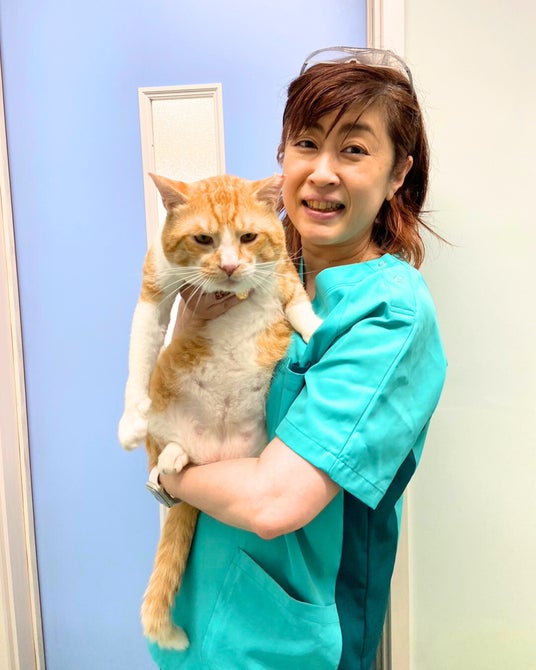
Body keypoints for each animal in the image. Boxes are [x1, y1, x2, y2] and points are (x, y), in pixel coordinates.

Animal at [118, 172, 322, 650]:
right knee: (165, 451)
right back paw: (171, 457)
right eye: (203, 239)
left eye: (248, 237)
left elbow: (299, 306)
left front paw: (319, 328)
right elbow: (140, 351)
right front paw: (129, 419)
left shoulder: (284, 272)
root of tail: (214, 452)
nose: (229, 267)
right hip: (167, 418)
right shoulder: (154, 291)